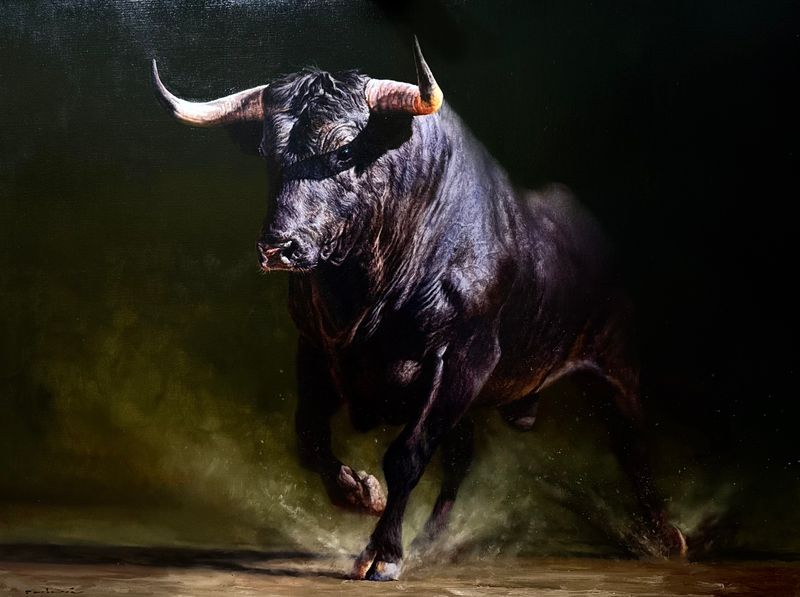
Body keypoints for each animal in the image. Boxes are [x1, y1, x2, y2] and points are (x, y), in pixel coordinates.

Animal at [152, 38, 686, 581]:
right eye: (267, 153)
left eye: (345, 150)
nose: (277, 247)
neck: (366, 295)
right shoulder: (317, 351)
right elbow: (310, 436)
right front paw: (359, 492)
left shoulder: (462, 359)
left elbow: (406, 456)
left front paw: (383, 552)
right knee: (460, 456)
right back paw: (433, 540)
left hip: (615, 363)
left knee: (632, 443)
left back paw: (664, 538)